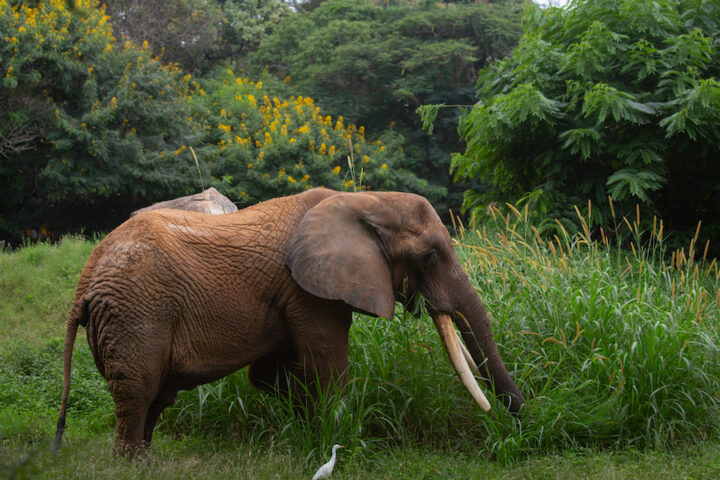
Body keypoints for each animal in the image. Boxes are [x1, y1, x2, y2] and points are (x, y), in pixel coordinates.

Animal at [53, 188, 525, 456]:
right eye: (429, 256)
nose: (521, 424)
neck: (364, 198)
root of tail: (83, 286)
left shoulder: (293, 292)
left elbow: (272, 374)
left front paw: (309, 431)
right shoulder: (308, 291)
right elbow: (327, 364)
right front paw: (333, 437)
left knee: (157, 396)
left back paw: (147, 460)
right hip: (135, 313)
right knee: (138, 390)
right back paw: (131, 463)